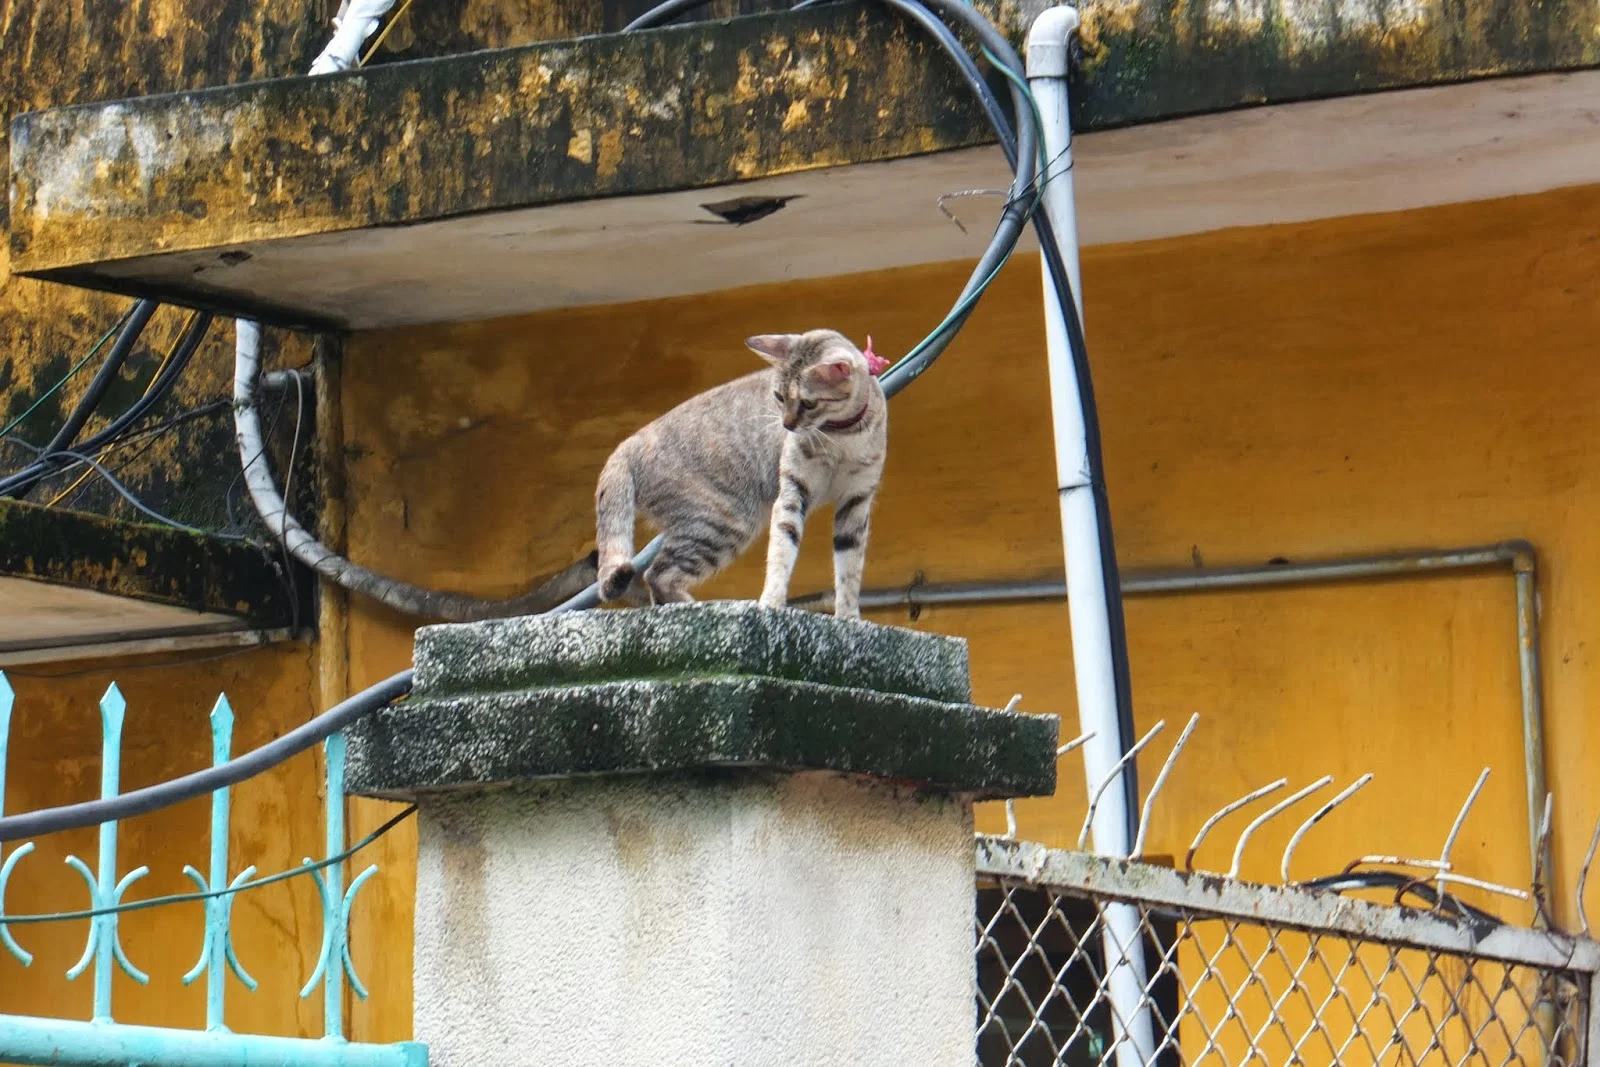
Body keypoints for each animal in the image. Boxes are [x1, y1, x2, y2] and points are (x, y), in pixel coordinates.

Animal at [595, 329, 889, 620]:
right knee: (657, 574)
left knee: (658, 577)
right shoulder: (792, 493)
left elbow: (849, 569)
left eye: (808, 403)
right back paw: (698, 606)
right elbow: (782, 551)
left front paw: (849, 616)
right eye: (779, 397)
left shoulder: (856, 501)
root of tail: (629, 442)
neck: (843, 436)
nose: (786, 425)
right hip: (723, 521)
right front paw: (772, 602)